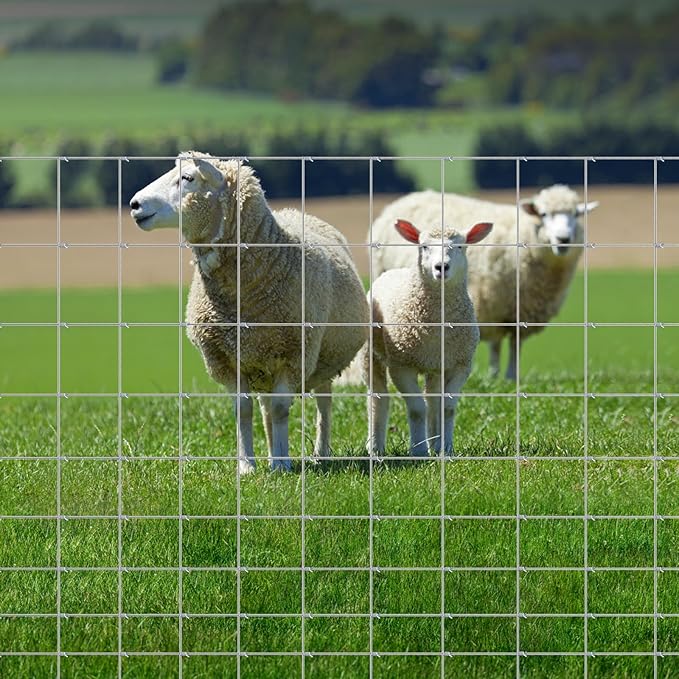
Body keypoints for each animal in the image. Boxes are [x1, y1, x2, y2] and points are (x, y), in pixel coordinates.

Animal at [129, 152, 369, 474]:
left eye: (188, 178)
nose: (134, 204)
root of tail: (296, 211)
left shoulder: (294, 353)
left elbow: (281, 409)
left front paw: (283, 466)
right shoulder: (226, 359)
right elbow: (243, 410)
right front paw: (247, 466)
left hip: (321, 358)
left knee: (323, 403)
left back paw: (319, 453)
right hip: (264, 361)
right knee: (267, 408)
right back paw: (271, 455)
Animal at [364, 218, 493, 456]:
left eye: (460, 246)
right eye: (424, 246)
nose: (441, 267)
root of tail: (392, 271)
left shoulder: (460, 364)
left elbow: (447, 408)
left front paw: (446, 449)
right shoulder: (401, 366)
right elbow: (417, 408)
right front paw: (419, 451)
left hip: (435, 365)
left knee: (433, 400)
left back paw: (435, 443)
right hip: (370, 354)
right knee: (378, 398)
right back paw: (375, 448)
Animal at [370, 185, 599, 380]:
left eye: (576, 215)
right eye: (543, 214)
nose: (563, 240)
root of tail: (412, 196)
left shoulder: (522, 309)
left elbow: (516, 344)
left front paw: (512, 376)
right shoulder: (491, 303)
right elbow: (495, 345)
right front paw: (495, 376)